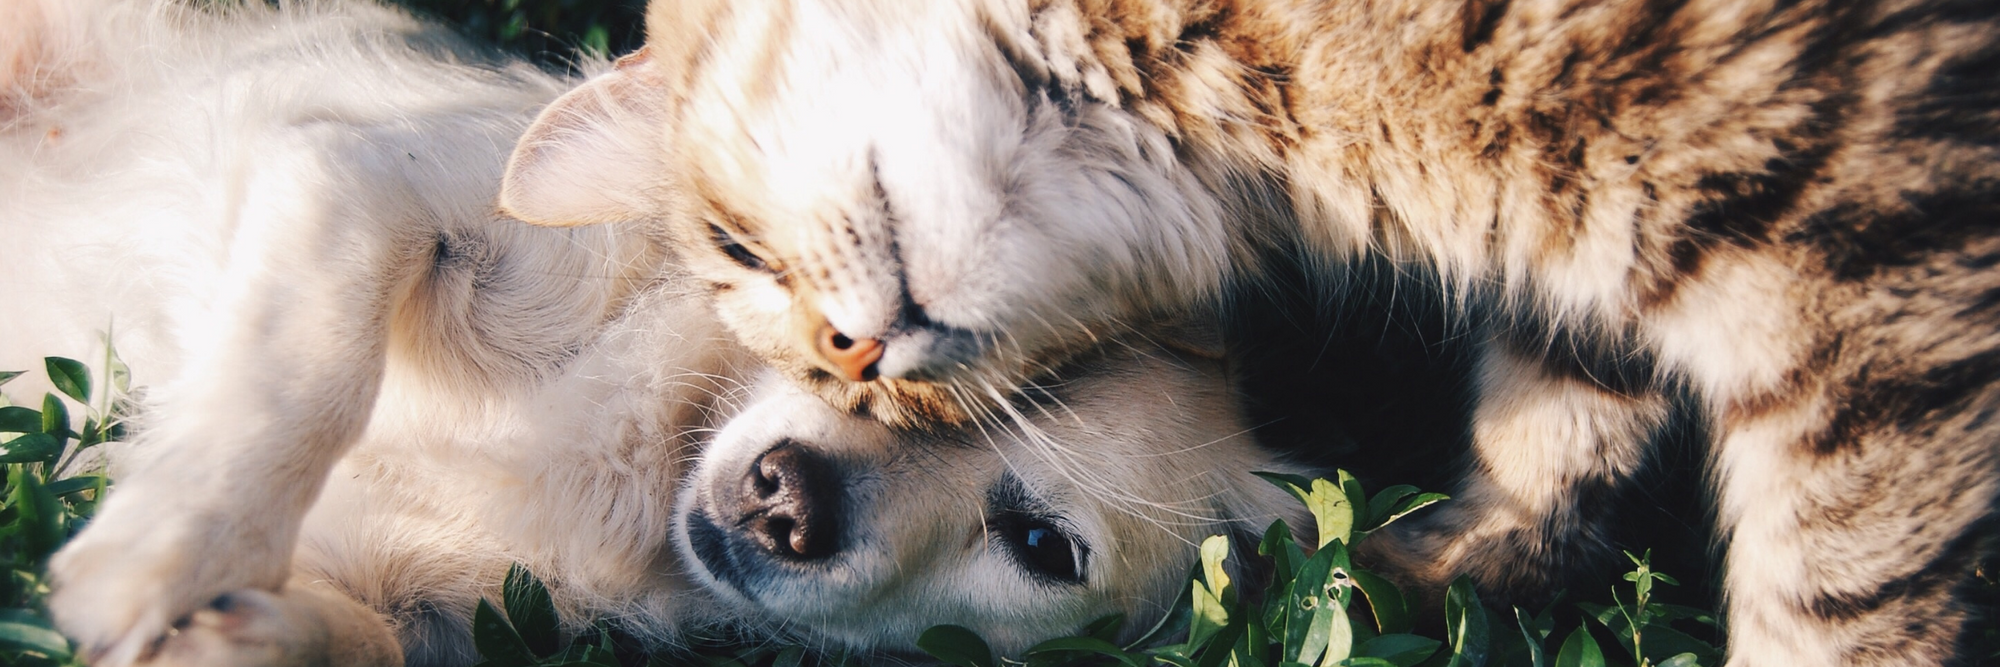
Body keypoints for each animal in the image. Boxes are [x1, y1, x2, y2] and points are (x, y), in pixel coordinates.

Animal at [0, 2, 1304, 663]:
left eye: (1040, 546)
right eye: (848, 350)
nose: (787, 500)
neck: (652, 454)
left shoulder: (422, 609)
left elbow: (358, 637)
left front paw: (222, 628)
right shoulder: (364, 177)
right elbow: (303, 375)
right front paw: (163, 550)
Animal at [500, 0, 2000, 663]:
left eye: (740, 254)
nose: (857, 363)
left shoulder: (1864, 239)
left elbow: (1843, 593)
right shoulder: (1602, 248)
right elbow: (1553, 431)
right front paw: (1417, 575)